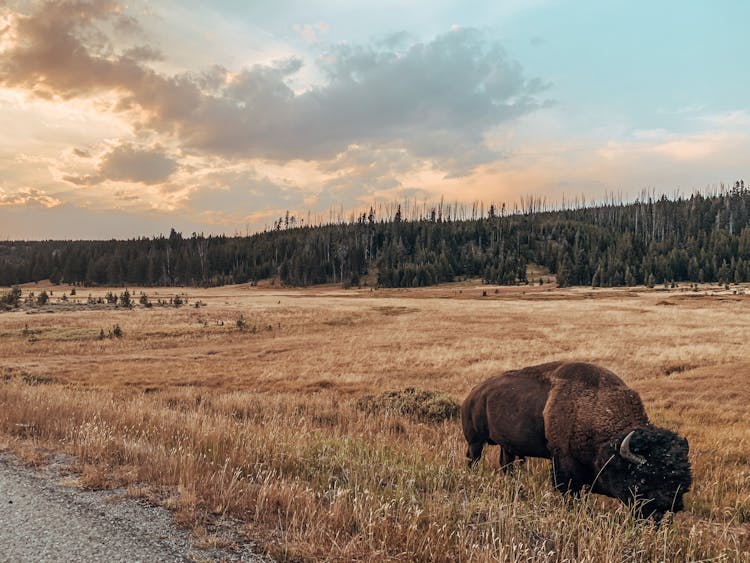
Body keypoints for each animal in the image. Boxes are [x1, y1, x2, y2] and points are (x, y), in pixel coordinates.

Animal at [464, 362, 692, 520]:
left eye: (683, 483)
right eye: (642, 480)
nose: (667, 508)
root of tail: (474, 393)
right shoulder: (565, 466)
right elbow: (570, 491)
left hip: (507, 446)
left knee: (506, 464)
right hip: (475, 441)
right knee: (473, 458)